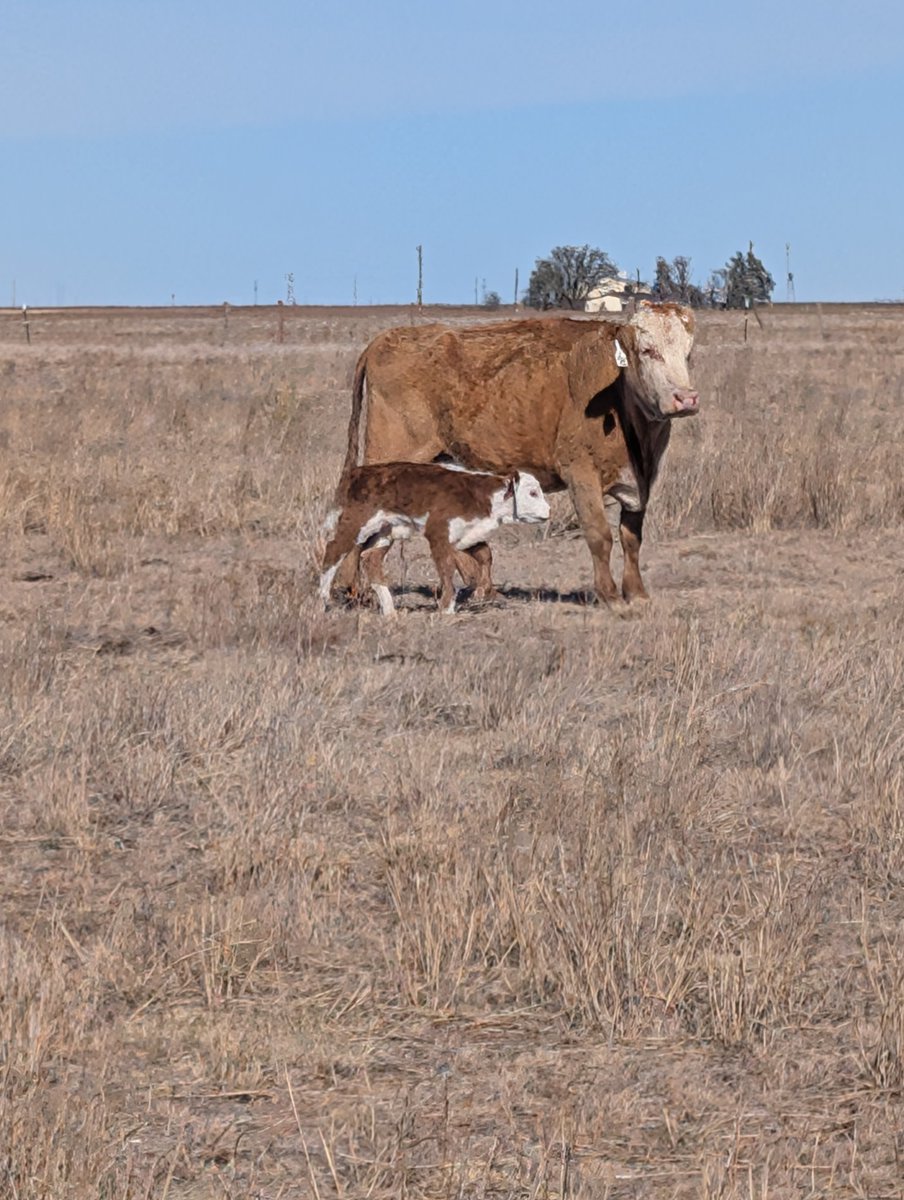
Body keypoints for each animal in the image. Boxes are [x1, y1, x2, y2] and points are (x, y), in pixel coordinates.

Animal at [320, 462, 549, 616]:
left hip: (386, 531)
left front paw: (481, 591)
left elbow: (485, 555)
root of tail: (358, 472)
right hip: (356, 523)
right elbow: (447, 567)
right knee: (333, 551)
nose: (548, 511)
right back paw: (323, 600)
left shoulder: (467, 535)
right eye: (532, 493)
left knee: (370, 558)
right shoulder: (438, 533)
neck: (480, 496)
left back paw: (390, 611)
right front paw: (447, 608)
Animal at [340, 301, 699, 606]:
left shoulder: (640, 482)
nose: (685, 398)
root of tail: (385, 340)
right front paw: (610, 597)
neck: (617, 391)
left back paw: (479, 586)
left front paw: (637, 594)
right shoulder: (581, 474)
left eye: (688, 354)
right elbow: (600, 535)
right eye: (647, 351)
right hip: (390, 456)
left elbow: (631, 538)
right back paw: (355, 590)